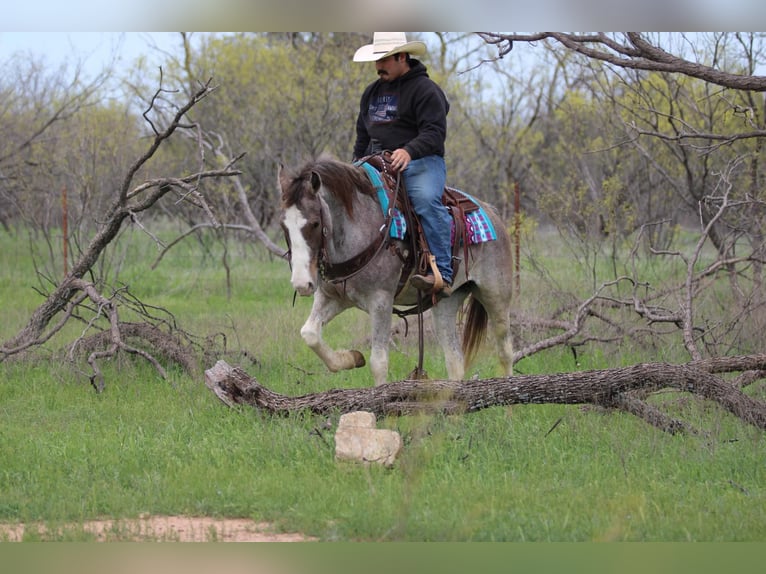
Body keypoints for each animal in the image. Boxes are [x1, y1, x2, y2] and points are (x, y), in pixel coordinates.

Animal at [278, 156, 516, 388]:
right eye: (283, 226)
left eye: (315, 223)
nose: (302, 284)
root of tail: (492, 213)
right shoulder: (332, 298)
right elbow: (310, 334)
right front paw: (352, 358)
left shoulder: (381, 301)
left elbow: (378, 362)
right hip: (446, 303)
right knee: (454, 359)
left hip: (495, 294)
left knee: (504, 350)